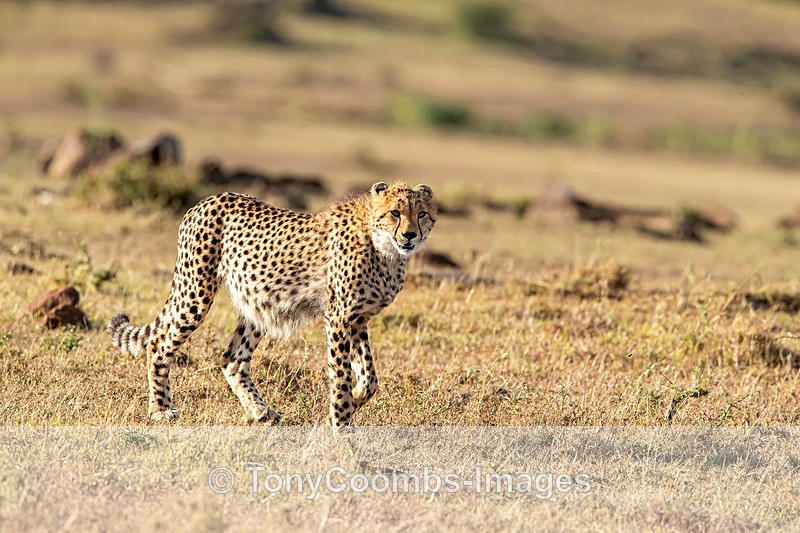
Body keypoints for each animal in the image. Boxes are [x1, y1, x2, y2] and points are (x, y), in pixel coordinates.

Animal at [107, 181, 436, 427]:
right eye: (395, 213)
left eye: (421, 214)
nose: (410, 235)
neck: (383, 248)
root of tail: (209, 199)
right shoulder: (339, 317)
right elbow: (341, 374)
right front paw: (341, 422)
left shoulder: (357, 319)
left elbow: (369, 378)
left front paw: (351, 403)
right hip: (196, 291)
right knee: (159, 344)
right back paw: (160, 409)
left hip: (257, 302)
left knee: (232, 359)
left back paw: (260, 411)